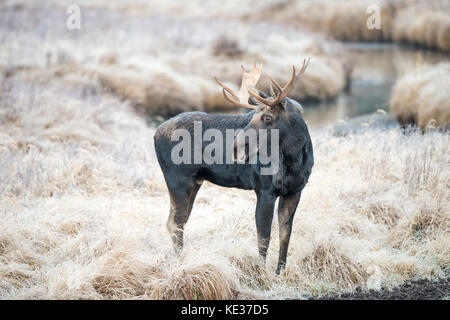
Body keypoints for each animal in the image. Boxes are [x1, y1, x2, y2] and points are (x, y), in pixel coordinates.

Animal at [154, 58, 312, 274]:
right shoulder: (264, 189)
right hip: (178, 180)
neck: (295, 160)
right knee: (175, 223)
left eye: (267, 117)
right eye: (252, 115)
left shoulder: (295, 191)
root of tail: (155, 133)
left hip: (194, 182)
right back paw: (180, 263)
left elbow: (285, 235)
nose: (236, 147)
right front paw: (262, 273)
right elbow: (263, 237)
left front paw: (280, 272)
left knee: (178, 221)